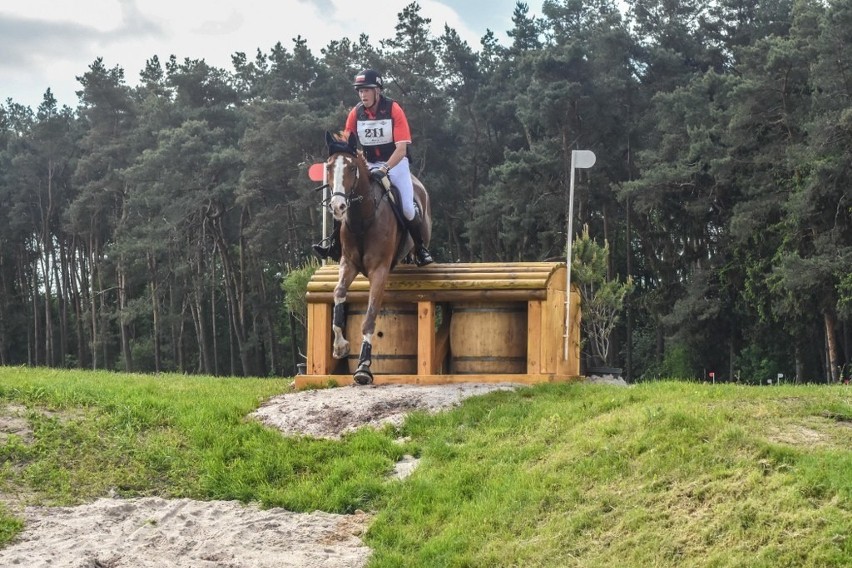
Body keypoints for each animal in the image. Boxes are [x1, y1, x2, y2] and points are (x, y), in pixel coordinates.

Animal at [322, 131, 436, 384]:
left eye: (352, 167)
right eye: (329, 166)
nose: (338, 205)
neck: (362, 218)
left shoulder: (379, 271)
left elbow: (370, 315)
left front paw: (363, 367)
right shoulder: (348, 263)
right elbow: (339, 293)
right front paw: (340, 346)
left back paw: (422, 255)